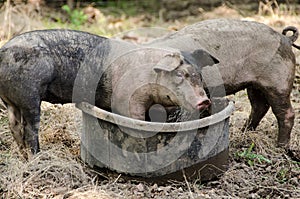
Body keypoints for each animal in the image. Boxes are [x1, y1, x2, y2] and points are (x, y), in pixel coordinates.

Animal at [0, 29, 213, 159]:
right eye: (180, 74)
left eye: (198, 75)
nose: (204, 100)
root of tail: (3, 52)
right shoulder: (128, 101)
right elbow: (136, 122)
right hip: (29, 96)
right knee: (29, 130)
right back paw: (37, 157)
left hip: (11, 101)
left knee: (14, 126)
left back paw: (24, 156)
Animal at [148, 18, 298, 148]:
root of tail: (286, 39)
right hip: (254, 85)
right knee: (260, 106)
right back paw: (244, 133)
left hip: (278, 82)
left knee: (286, 113)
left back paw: (281, 147)